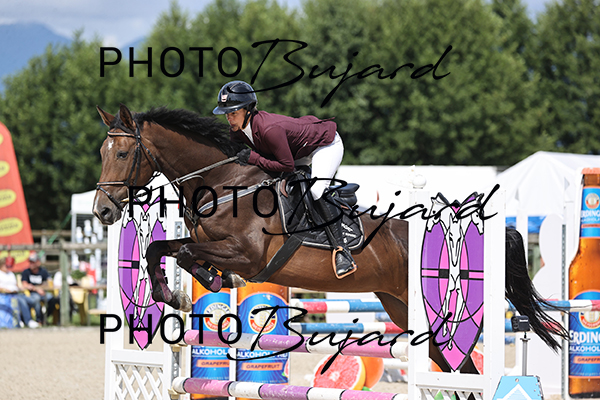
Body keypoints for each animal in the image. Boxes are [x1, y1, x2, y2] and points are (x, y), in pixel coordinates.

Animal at [93, 104, 568, 376]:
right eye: (101, 153)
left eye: (123, 153)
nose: (102, 212)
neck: (226, 185)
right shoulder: (208, 245)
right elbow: (160, 249)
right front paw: (182, 292)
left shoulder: (247, 255)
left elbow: (186, 253)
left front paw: (205, 285)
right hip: (401, 305)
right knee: (456, 363)